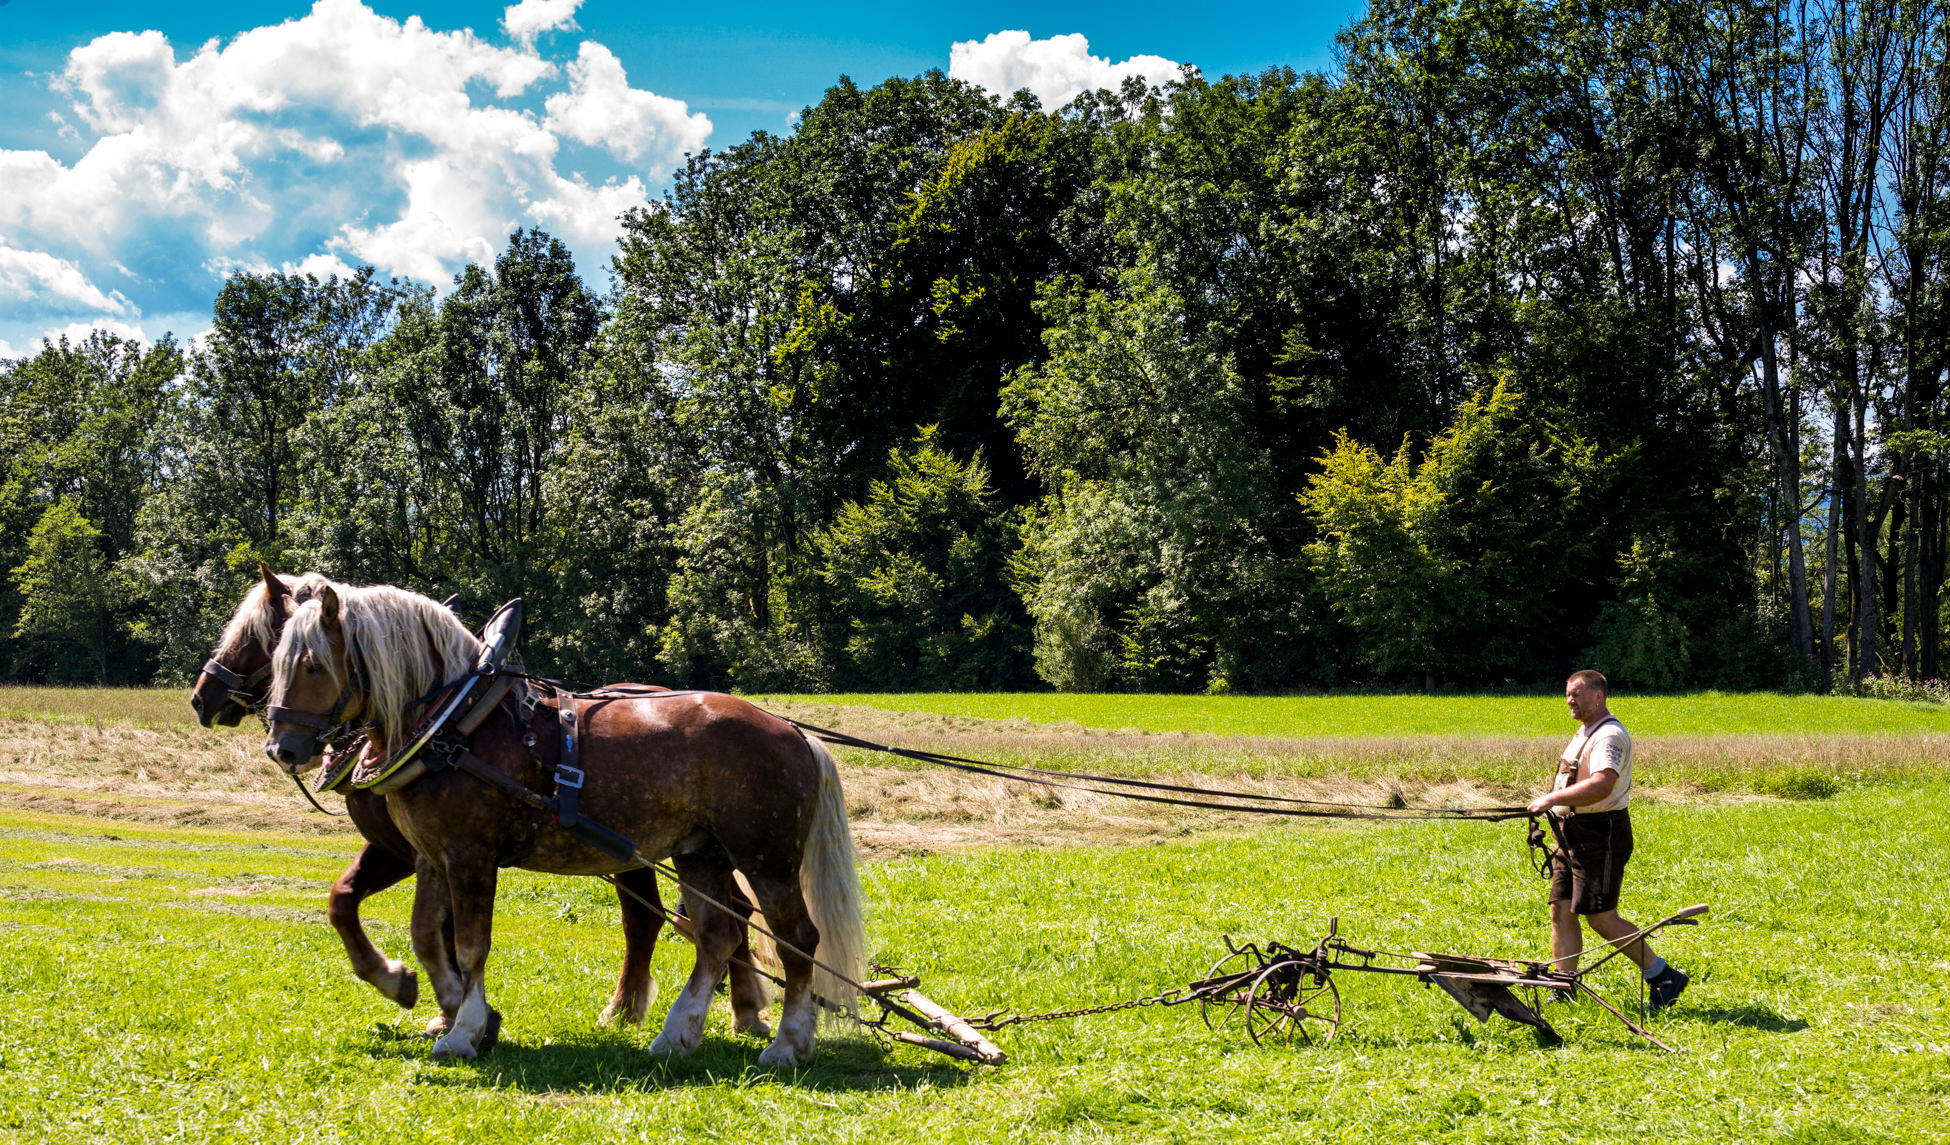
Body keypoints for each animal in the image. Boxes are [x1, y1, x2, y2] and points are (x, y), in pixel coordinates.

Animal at [191, 566, 665, 1031]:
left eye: (255, 636)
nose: (201, 698)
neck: (446, 721)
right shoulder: (398, 846)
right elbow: (343, 899)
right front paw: (409, 986)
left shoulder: (433, 851)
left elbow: (445, 929)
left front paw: (462, 1010)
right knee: (646, 917)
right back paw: (627, 1008)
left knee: (644, 918)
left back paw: (623, 1008)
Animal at [262, 582, 864, 1064]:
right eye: (276, 663)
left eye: (313, 665)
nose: (281, 748)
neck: (455, 722)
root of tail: (792, 732)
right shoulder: (433, 854)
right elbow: (427, 937)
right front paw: (441, 1004)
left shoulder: (469, 853)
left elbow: (470, 945)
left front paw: (466, 1030)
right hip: (700, 853)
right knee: (719, 934)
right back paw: (677, 1034)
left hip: (766, 858)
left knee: (797, 939)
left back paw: (787, 1042)